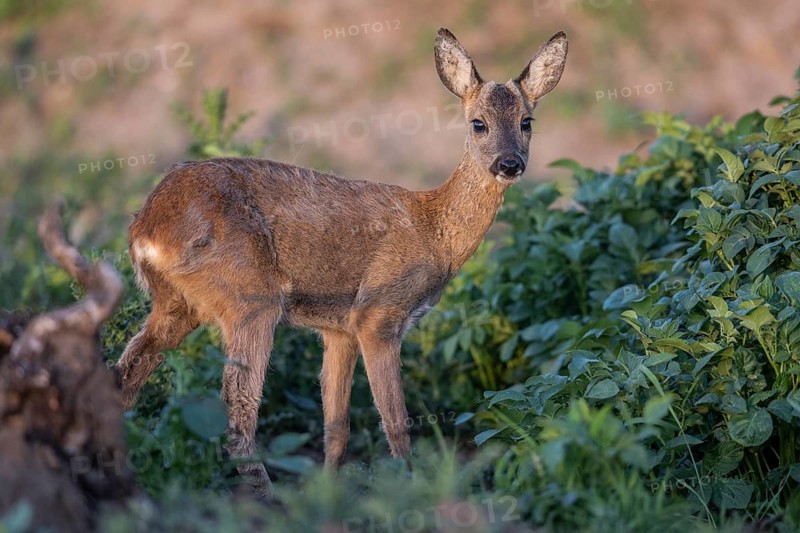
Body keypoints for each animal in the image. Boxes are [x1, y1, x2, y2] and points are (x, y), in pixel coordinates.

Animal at [116, 27, 568, 496]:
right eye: (478, 123)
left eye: (527, 122)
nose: (510, 163)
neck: (433, 230)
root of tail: (146, 228)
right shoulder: (378, 313)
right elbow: (396, 423)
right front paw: (411, 490)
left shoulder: (338, 328)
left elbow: (336, 425)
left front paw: (329, 493)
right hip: (250, 297)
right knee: (237, 410)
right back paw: (268, 496)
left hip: (177, 303)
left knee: (125, 375)